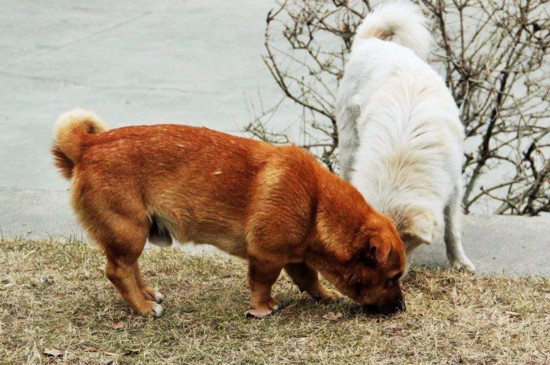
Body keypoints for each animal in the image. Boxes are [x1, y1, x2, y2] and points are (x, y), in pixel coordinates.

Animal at [51, 108, 408, 316]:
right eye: (393, 277)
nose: (401, 308)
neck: (317, 202)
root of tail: (87, 146)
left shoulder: (295, 257)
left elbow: (310, 279)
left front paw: (325, 296)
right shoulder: (266, 256)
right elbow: (263, 283)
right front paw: (263, 308)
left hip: (133, 235)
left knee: (128, 268)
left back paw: (149, 294)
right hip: (130, 232)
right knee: (117, 271)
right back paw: (143, 307)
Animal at [338, 0, 476, 272]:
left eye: (401, 246)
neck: (403, 160)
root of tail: (370, 42)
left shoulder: (453, 183)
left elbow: (452, 231)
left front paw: (459, 262)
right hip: (348, 148)